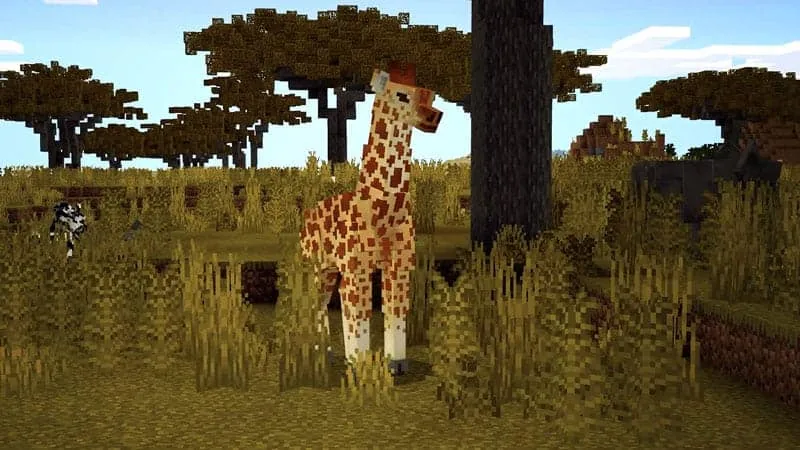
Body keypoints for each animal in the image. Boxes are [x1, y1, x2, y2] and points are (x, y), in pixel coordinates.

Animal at [299, 61, 443, 375]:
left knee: (321, 304)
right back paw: (317, 353)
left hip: (329, 270)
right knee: (311, 302)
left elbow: (395, 313)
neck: (385, 212)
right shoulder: (356, 270)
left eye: (430, 95)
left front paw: (395, 364)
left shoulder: (399, 266)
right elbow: (358, 318)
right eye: (401, 95)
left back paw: (326, 351)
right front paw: (359, 366)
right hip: (312, 264)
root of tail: (308, 213)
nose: (434, 117)